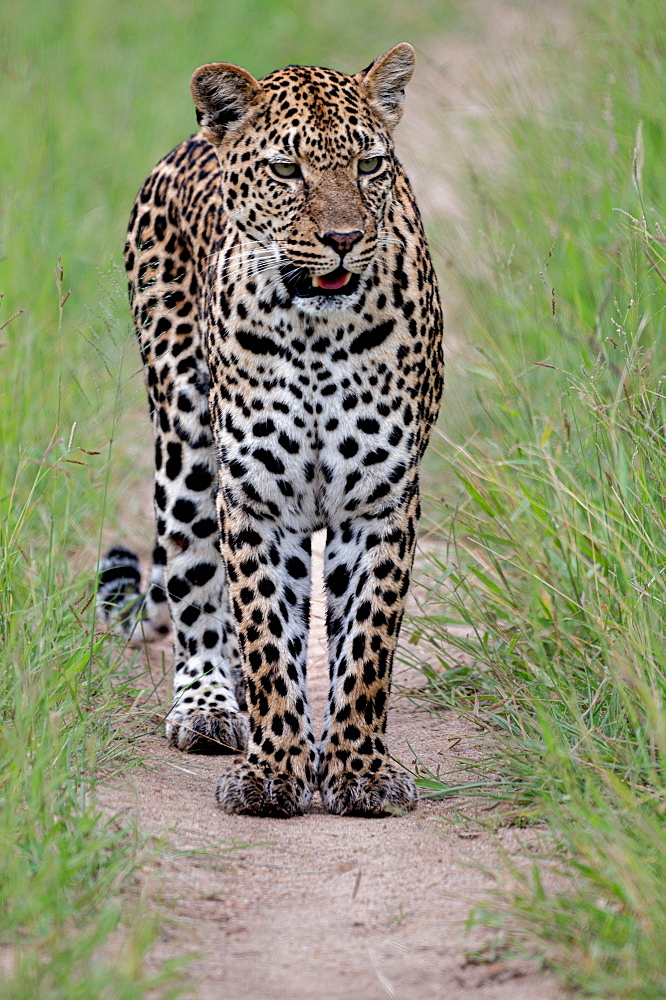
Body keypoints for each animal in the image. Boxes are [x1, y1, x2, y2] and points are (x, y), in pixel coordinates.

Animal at [97, 43, 440, 816]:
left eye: (370, 165)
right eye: (287, 171)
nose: (343, 240)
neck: (315, 331)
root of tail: (195, 138)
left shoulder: (379, 501)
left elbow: (366, 647)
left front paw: (358, 770)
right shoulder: (256, 499)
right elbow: (264, 638)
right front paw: (274, 770)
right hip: (187, 449)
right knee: (197, 592)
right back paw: (208, 708)